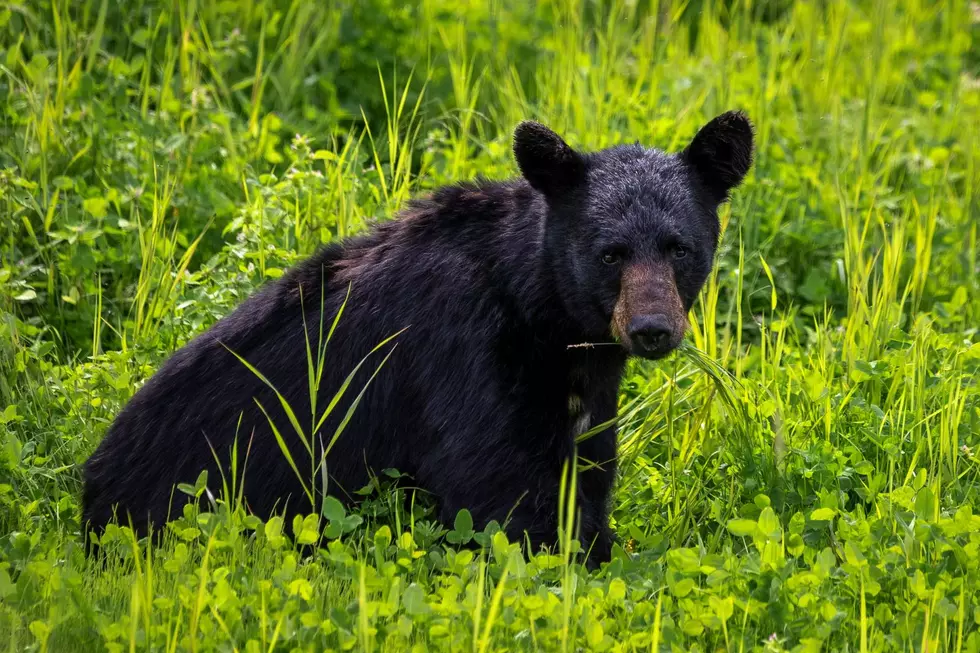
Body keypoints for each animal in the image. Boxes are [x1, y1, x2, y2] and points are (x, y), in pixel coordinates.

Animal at [82, 111, 753, 566]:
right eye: (610, 253)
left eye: (680, 248)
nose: (652, 329)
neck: (542, 315)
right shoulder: (463, 351)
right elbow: (499, 489)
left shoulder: (584, 391)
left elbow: (586, 469)